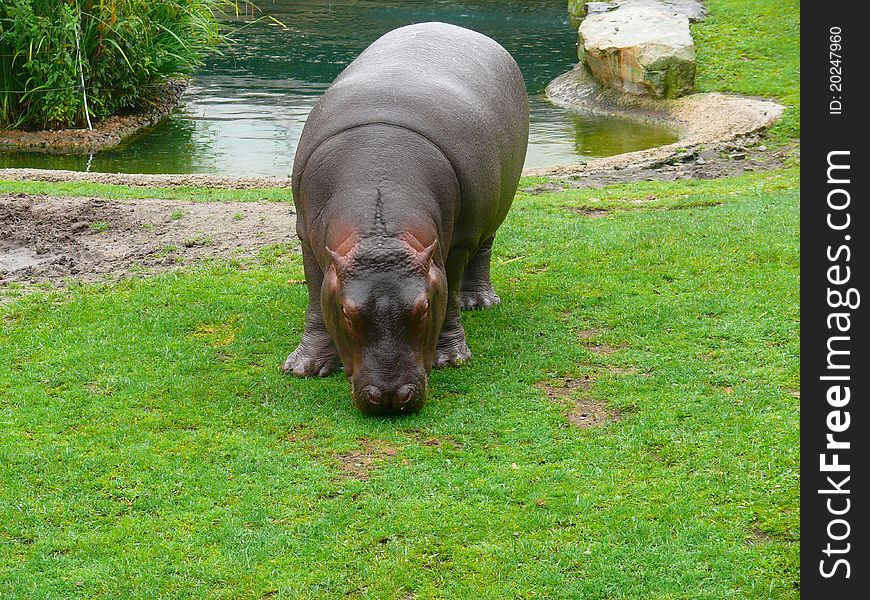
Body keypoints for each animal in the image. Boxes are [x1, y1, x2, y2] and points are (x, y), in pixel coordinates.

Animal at [286, 22, 532, 412]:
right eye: (346, 312)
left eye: (424, 307)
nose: (390, 397)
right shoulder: (308, 237)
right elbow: (315, 299)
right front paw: (305, 367)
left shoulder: (456, 244)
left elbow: (449, 293)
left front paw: (451, 359)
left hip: (494, 208)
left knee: (484, 250)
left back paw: (479, 302)